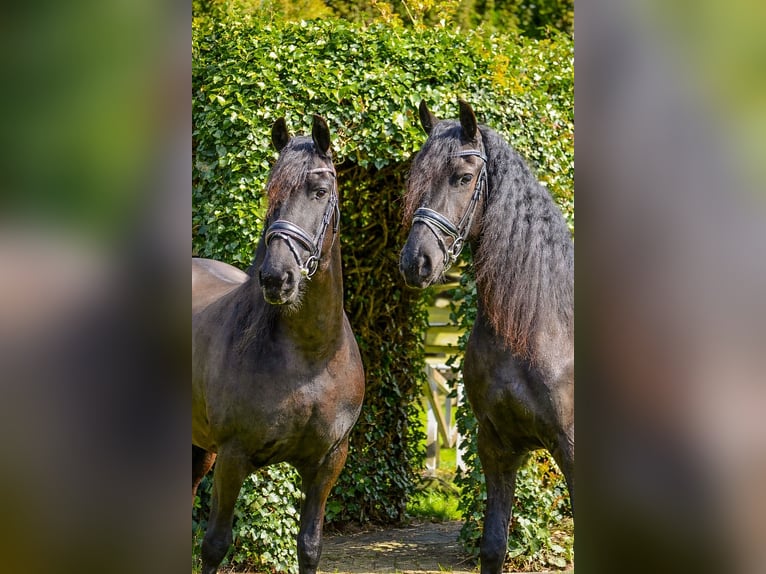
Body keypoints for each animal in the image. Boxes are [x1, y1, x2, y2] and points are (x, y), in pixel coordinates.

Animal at [192, 115, 365, 574]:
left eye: (320, 191)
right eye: (270, 192)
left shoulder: (327, 463)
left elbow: (309, 546)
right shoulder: (233, 458)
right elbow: (214, 545)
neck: (310, 357)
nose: (276, 278)